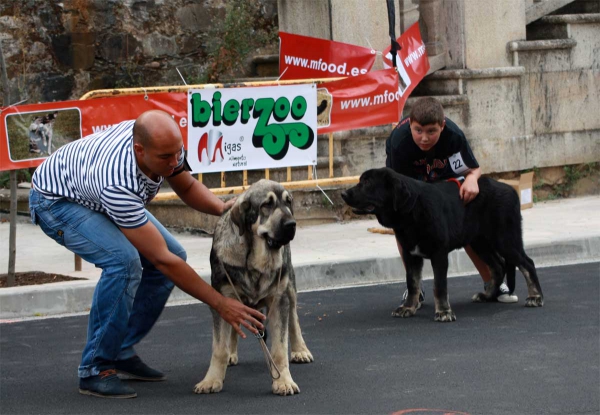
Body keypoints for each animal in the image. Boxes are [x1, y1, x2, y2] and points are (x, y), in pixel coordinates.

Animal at [193, 180, 314, 398]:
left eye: (288, 202)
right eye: (267, 204)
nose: (291, 225)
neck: (255, 261)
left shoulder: (279, 301)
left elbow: (279, 348)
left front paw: (283, 381)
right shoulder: (223, 302)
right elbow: (219, 348)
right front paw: (212, 379)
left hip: (289, 288)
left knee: (294, 318)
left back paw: (300, 349)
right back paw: (232, 353)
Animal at [342, 167, 544, 324]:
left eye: (367, 182)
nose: (343, 194)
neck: (411, 212)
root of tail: (510, 190)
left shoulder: (439, 254)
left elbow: (439, 285)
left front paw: (444, 312)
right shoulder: (410, 256)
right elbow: (412, 283)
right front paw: (408, 307)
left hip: (505, 239)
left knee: (527, 263)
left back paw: (535, 297)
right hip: (480, 242)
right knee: (498, 266)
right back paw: (488, 296)